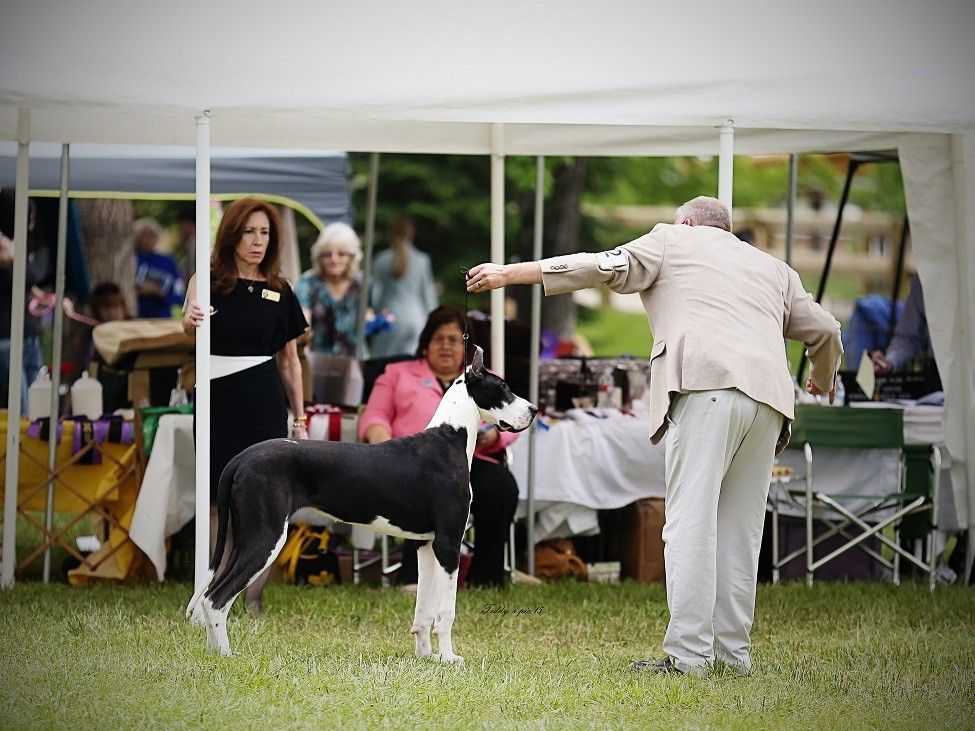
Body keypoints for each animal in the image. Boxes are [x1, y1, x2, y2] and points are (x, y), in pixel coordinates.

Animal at [186, 346, 537, 664]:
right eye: (503, 387)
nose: (533, 410)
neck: (450, 436)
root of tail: (242, 457)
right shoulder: (449, 544)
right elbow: (445, 612)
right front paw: (449, 659)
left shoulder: (427, 546)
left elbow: (423, 611)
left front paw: (427, 657)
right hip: (266, 538)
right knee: (216, 598)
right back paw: (226, 655)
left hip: (243, 537)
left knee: (209, 595)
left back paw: (212, 654)